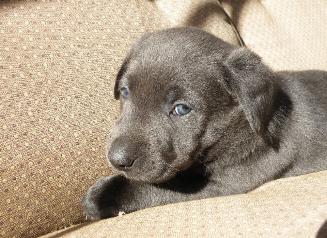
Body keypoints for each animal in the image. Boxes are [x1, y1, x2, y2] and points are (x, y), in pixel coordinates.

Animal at [83, 27, 327, 220]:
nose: (117, 160)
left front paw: (102, 196)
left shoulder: (224, 182)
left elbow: (157, 186)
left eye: (182, 109)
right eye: (125, 92)